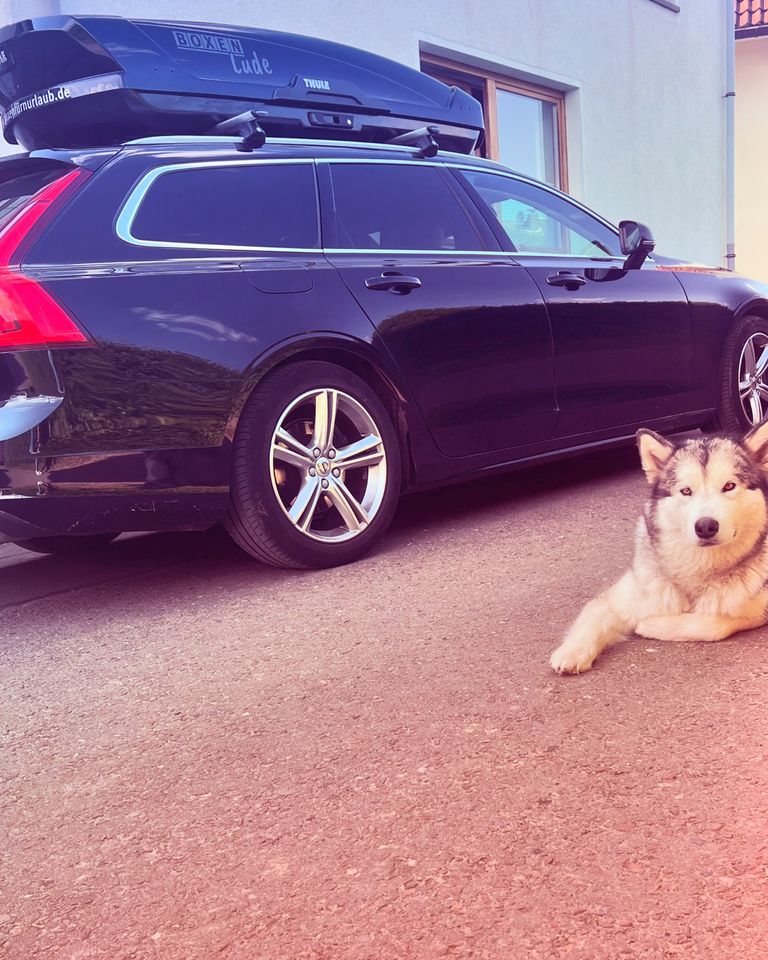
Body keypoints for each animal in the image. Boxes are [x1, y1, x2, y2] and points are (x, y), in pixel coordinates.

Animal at [548, 420, 768, 676]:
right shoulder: (624, 595)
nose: (705, 526)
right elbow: (595, 612)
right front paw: (573, 650)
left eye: (729, 486)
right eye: (686, 491)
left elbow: (715, 624)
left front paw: (650, 625)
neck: (699, 568)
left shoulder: (756, 610)